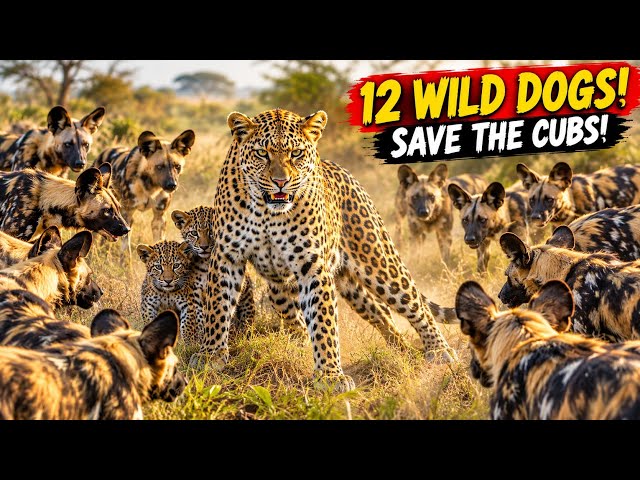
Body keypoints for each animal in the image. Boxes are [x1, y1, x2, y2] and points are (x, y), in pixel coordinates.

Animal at [194, 108, 457, 393]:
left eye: (296, 153)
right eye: (262, 153)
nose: (280, 182)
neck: (267, 211)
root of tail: (343, 171)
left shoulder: (312, 265)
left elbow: (324, 322)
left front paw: (331, 375)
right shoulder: (227, 255)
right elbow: (218, 306)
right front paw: (210, 355)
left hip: (378, 260)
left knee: (415, 304)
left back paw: (439, 350)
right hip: (331, 287)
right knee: (379, 312)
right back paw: (402, 351)